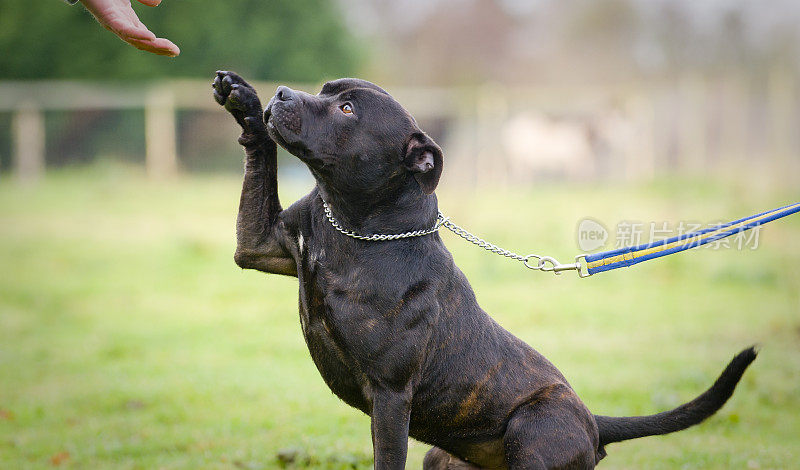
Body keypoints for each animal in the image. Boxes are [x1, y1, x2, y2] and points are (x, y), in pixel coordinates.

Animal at [212, 70, 756, 470]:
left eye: (347, 109)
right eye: (325, 92)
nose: (282, 93)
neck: (355, 225)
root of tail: (591, 419)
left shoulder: (390, 398)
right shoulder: (259, 245)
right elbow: (260, 162)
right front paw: (243, 102)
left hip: (534, 430)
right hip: (443, 457)